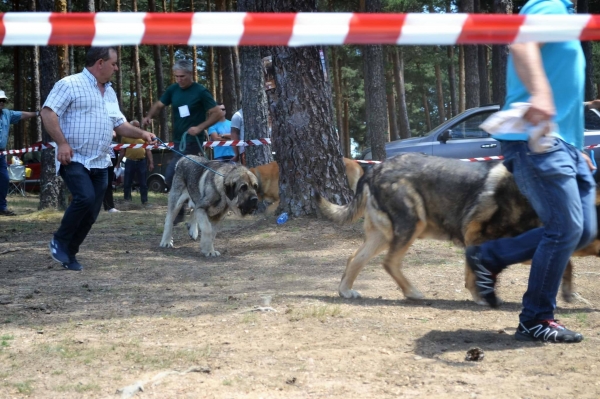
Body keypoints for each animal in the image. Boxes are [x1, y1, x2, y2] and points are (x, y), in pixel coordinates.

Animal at [316, 155, 596, 304]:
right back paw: (412, 292)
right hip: (411, 225)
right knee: (389, 262)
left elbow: (566, 264)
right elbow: (474, 273)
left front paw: (571, 295)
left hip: (382, 236)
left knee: (355, 258)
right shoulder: (480, 239)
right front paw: (481, 296)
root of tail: (375, 169)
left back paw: (345, 290)